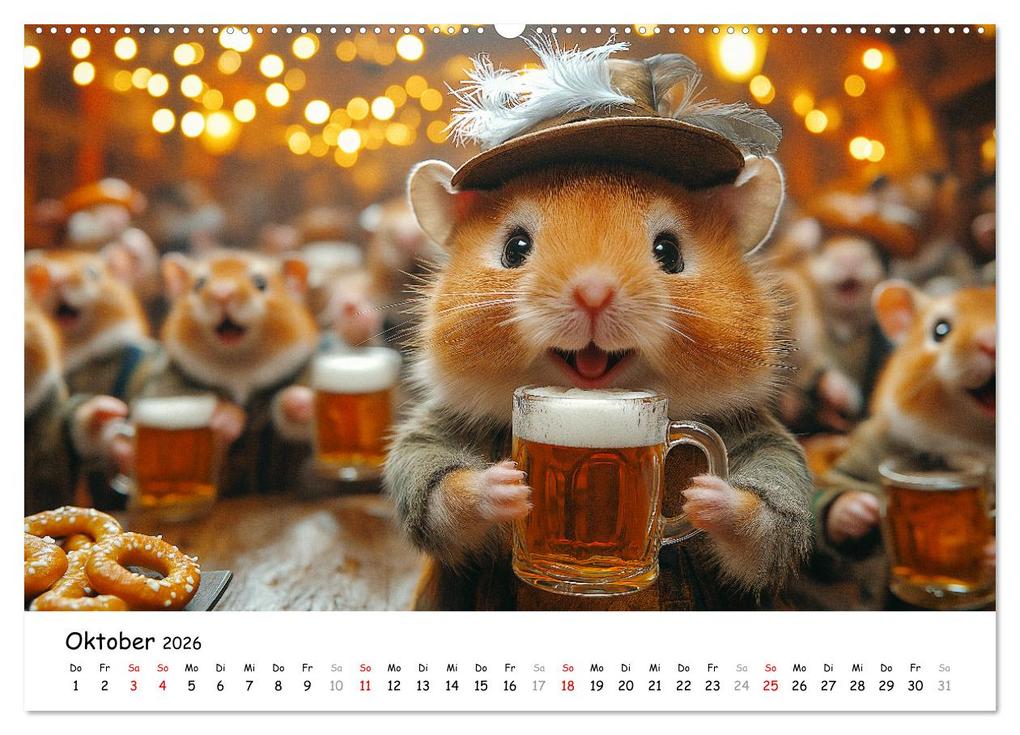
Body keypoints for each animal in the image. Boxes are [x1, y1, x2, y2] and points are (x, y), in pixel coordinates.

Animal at [385, 159, 814, 611]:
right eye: (515, 248)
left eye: (669, 253)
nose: (593, 293)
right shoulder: (433, 435)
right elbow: (434, 489)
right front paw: (505, 486)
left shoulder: (762, 439)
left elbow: (771, 520)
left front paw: (706, 495)